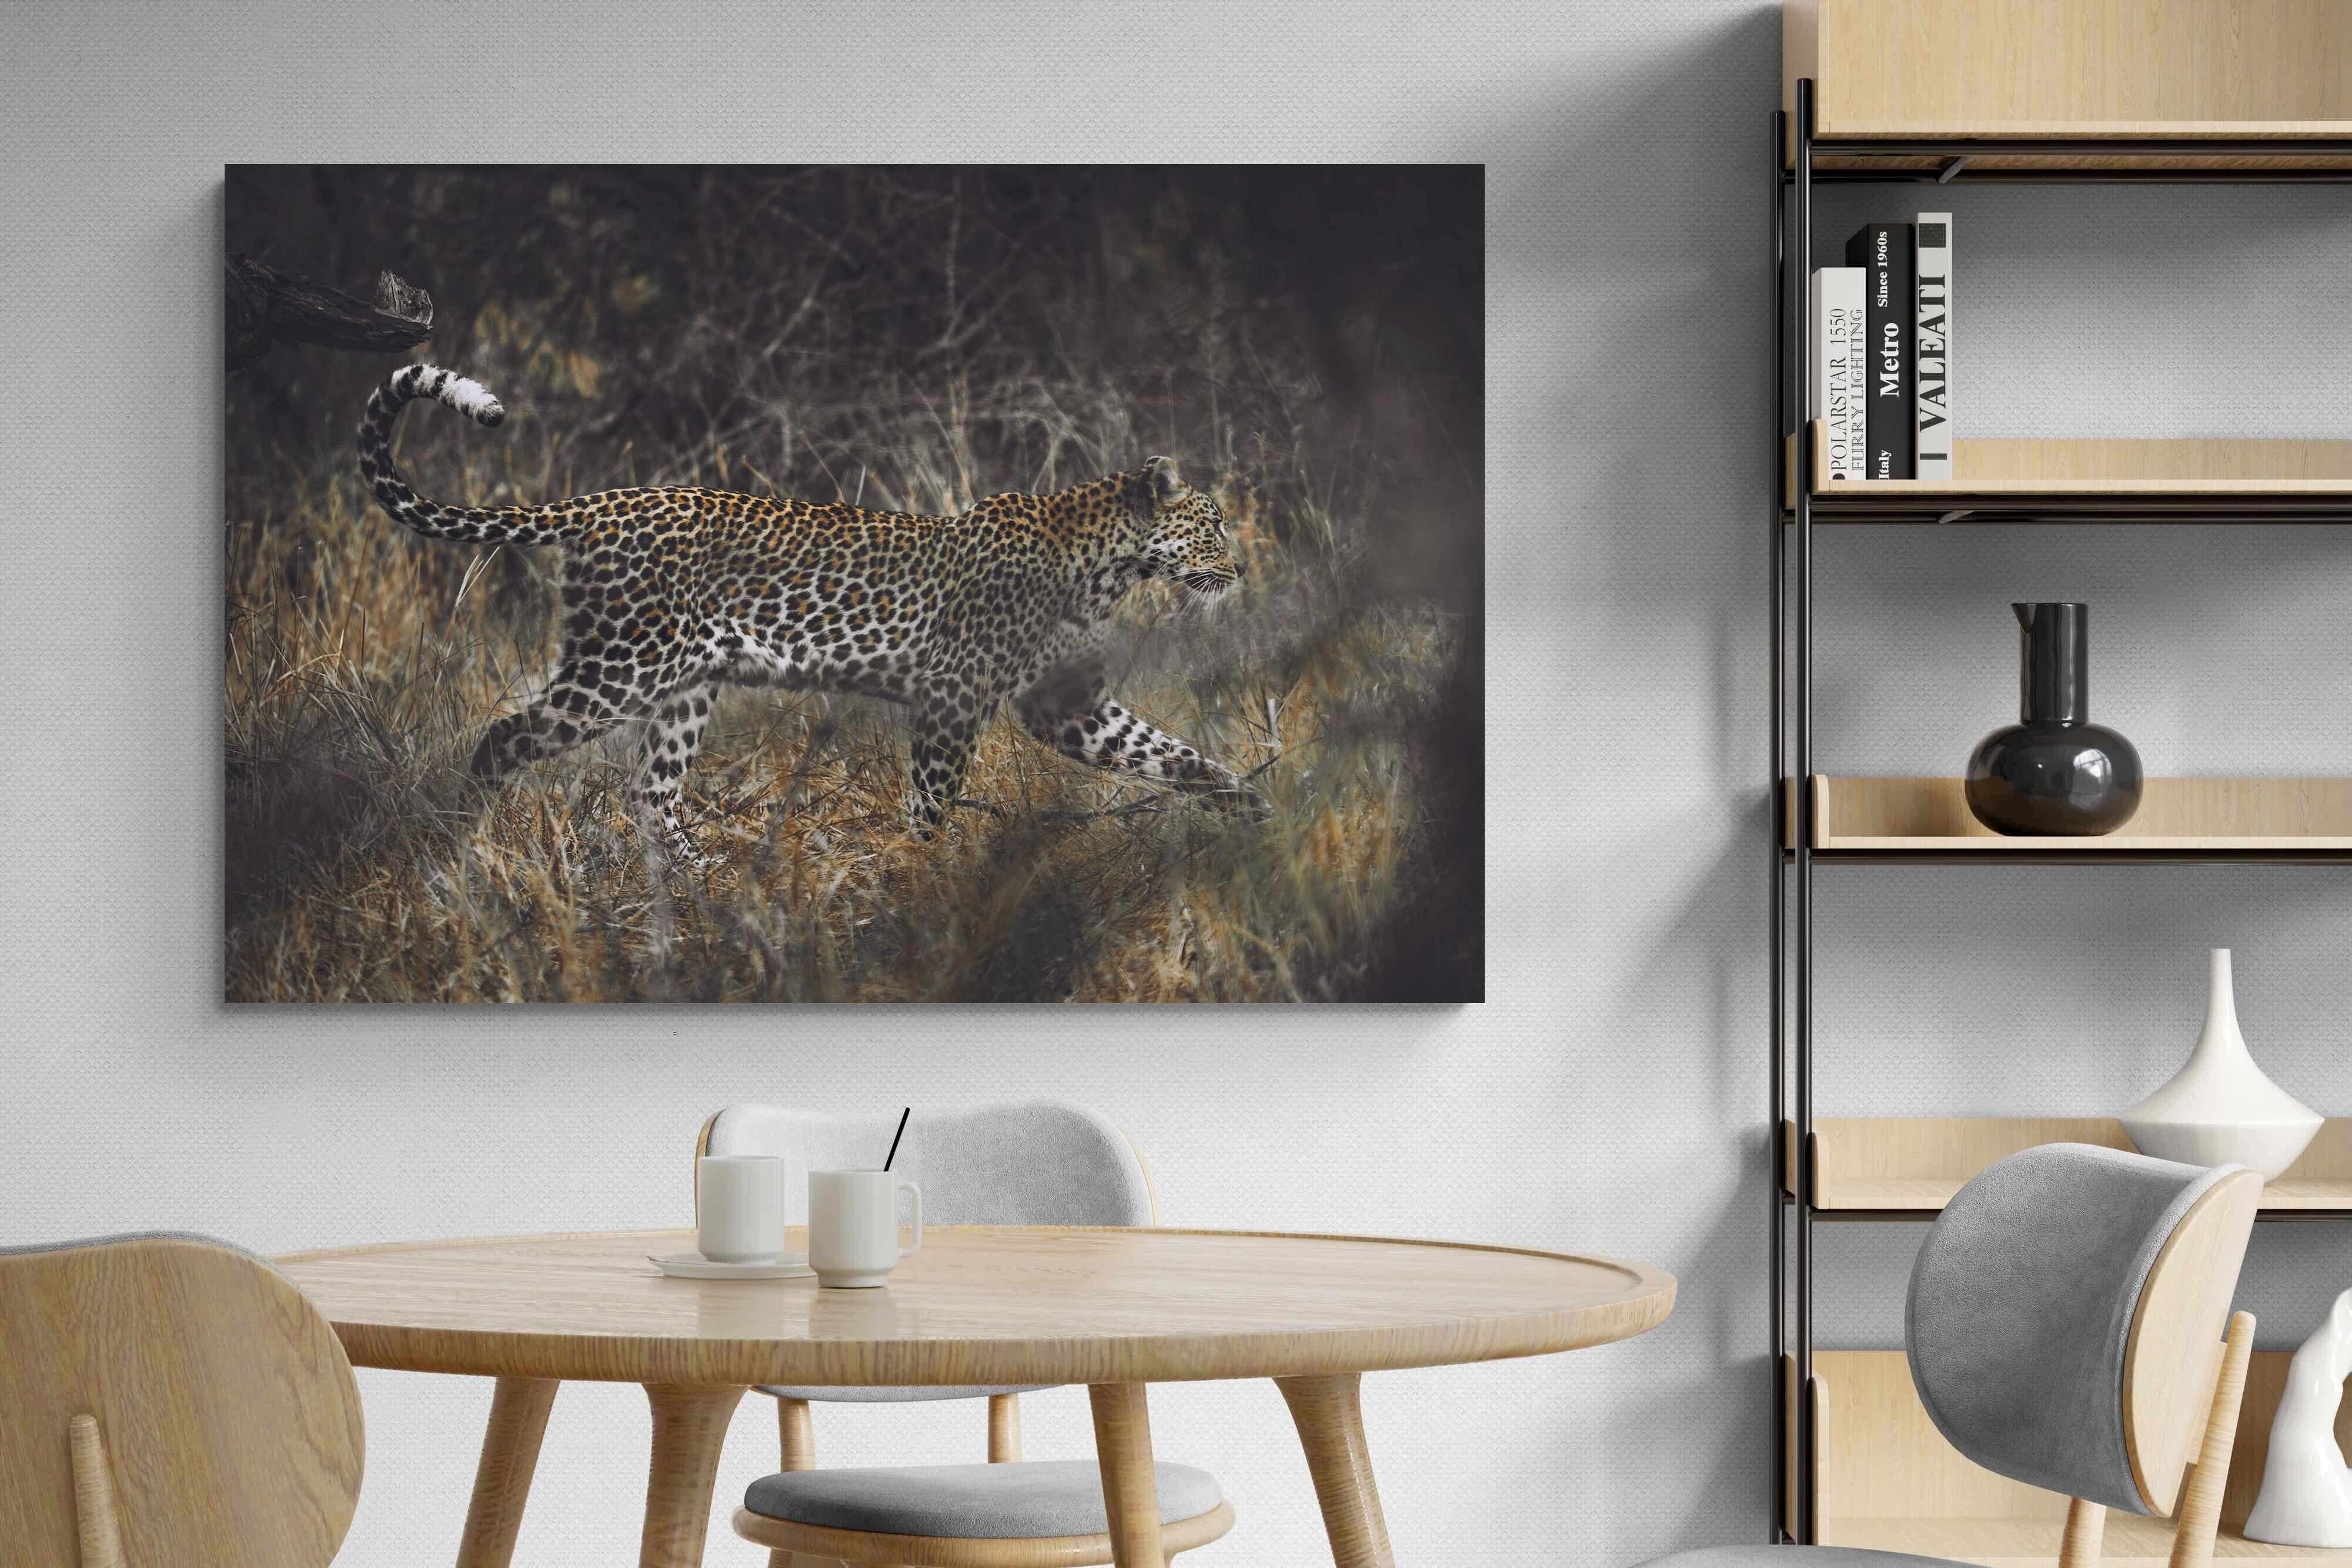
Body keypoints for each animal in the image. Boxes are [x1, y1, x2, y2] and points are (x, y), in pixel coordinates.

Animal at [357, 363, 1264, 856]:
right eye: (1214, 522)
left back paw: (702, 888)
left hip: (685, 684)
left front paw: (1251, 804)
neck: (1106, 566)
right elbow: (932, 799)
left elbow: (1168, 752)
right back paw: (465, 842)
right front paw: (925, 878)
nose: (1243, 566)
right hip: (620, 666)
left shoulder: (1066, 707)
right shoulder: (953, 696)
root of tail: (600, 502)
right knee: (505, 738)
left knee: (652, 794)